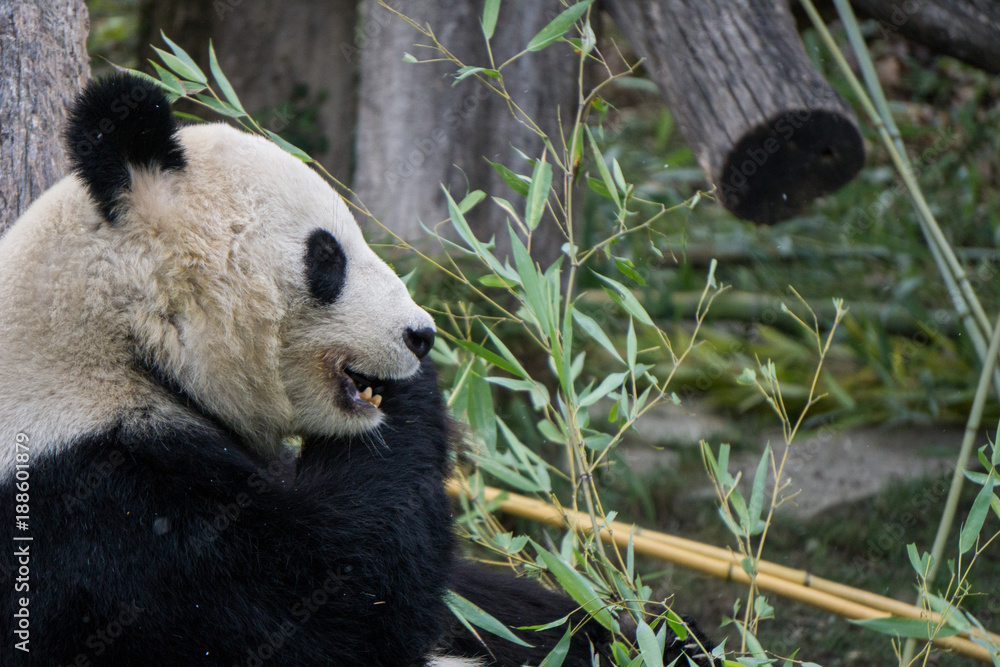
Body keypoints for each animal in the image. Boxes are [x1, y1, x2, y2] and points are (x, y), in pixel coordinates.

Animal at [0, 73, 716, 666]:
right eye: (328, 255)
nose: (422, 335)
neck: (122, 341)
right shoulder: (115, 513)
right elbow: (335, 606)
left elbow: (497, 607)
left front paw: (658, 633)